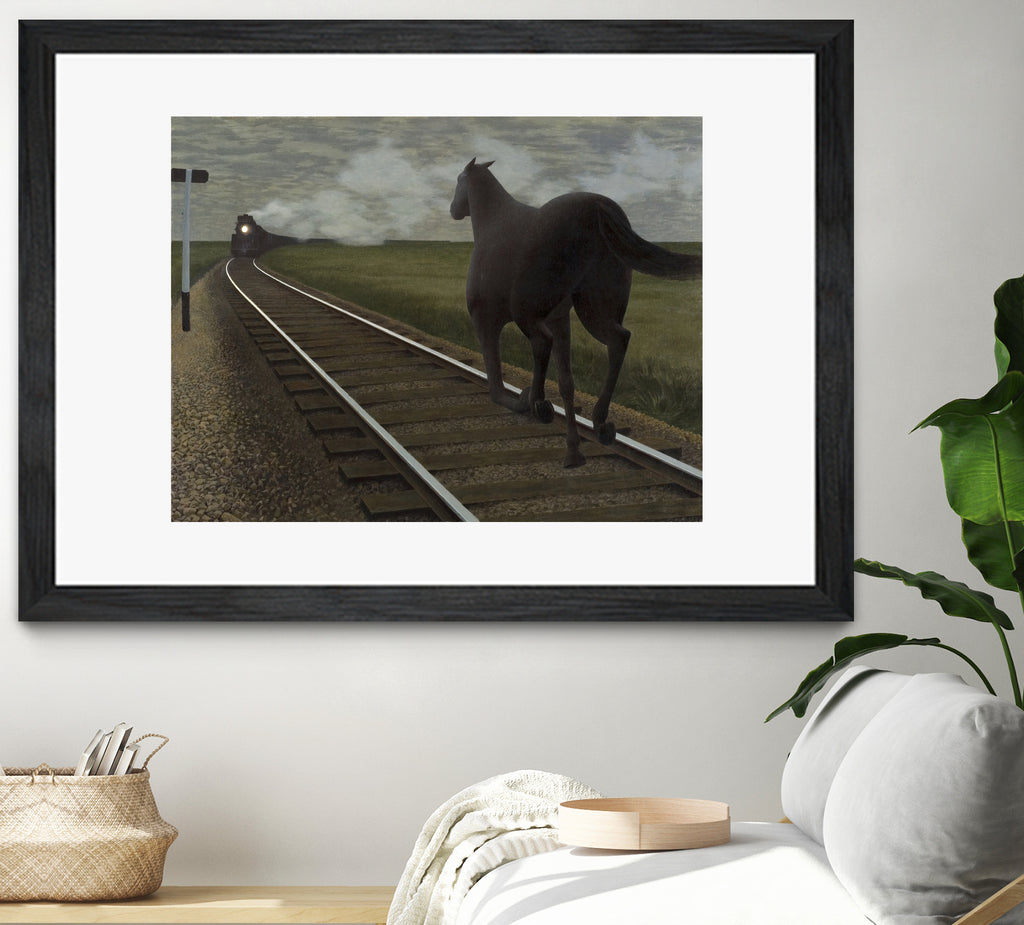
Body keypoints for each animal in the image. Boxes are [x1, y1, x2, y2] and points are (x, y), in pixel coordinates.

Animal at [452, 156, 700, 471]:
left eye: (459, 180)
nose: (454, 210)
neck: (493, 222)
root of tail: (596, 206)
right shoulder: (560, 321)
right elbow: (567, 382)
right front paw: (573, 450)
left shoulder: (485, 321)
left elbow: (497, 388)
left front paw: (526, 400)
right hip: (592, 307)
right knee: (619, 339)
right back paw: (600, 424)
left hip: (527, 311)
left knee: (543, 343)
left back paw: (540, 405)